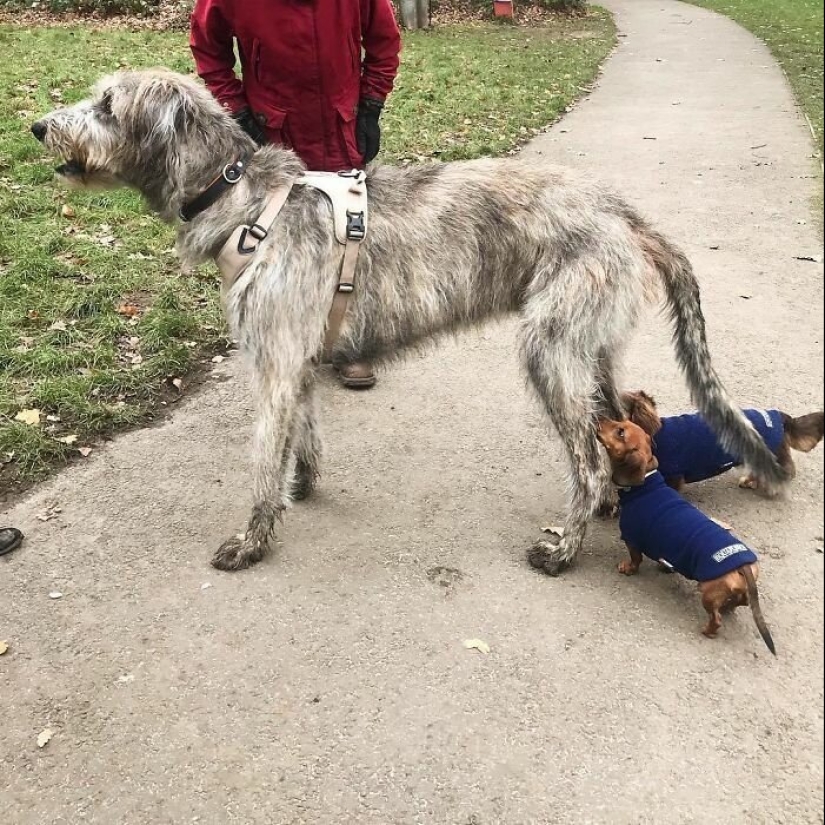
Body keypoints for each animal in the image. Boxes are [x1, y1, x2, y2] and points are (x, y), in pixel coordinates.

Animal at [30, 71, 784, 572]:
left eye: (107, 104)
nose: (38, 126)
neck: (243, 199)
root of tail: (625, 214)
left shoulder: (272, 359)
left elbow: (262, 456)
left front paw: (252, 538)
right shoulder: (296, 357)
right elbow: (301, 433)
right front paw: (303, 485)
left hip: (549, 348)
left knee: (591, 460)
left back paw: (565, 546)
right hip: (590, 348)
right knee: (615, 425)